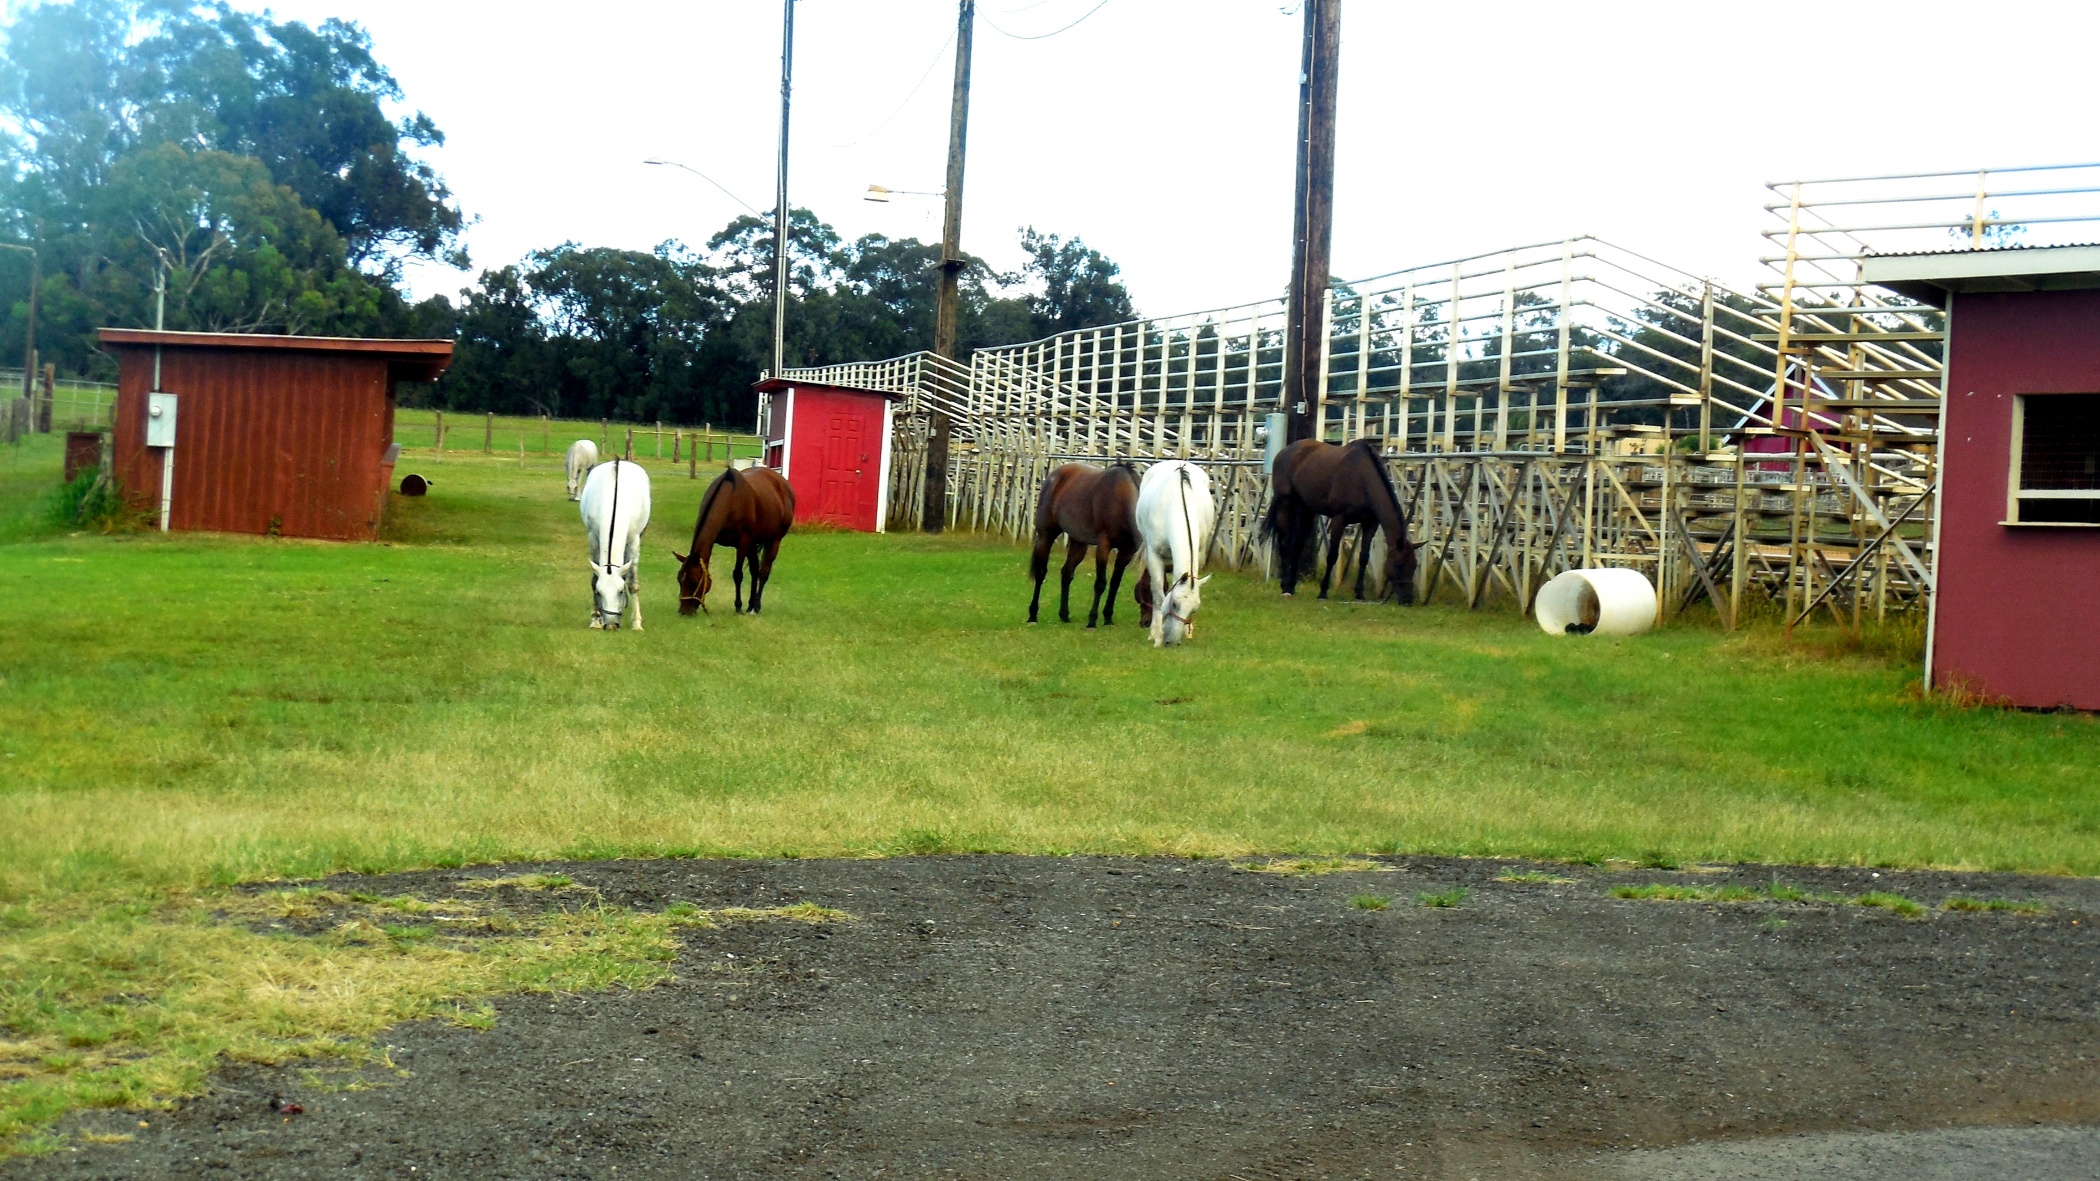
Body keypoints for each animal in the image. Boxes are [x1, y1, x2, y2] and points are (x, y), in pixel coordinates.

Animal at [579, 458, 652, 630]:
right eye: (599, 592)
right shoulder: (593, 538)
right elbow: (593, 580)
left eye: (620, 592)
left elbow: (633, 583)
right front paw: (595, 620)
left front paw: (637, 624)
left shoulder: (634, 541)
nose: (611, 625)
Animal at [673, 465, 794, 616]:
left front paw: (738, 606)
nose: (683, 611)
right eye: (679, 579)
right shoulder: (744, 543)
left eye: (694, 581)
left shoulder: (742, 543)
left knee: (763, 572)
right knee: (755, 570)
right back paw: (750, 605)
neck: (730, 499)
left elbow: (738, 574)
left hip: (774, 540)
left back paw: (756, 606)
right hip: (753, 544)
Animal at [1027, 462, 1141, 628]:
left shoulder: (1127, 551)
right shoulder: (1103, 545)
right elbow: (1100, 583)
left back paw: (1064, 615)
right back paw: (1032, 615)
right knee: (1041, 573)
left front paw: (1108, 618)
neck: (1121, 498)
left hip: (1078, 542)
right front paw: (1092, 620)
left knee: (1067, 573)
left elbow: (1115, 583)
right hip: (1045, 536)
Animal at [1131, 460, 1216, 647]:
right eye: (1175, 604)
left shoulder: (1199, 553)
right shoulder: (1154, 555)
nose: (1171, 642)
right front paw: (1156, 634)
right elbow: (1158, 594)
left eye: (1194, 609)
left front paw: (1186, 630)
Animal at [1261, 438, 1420, 603]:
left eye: (1414, 566)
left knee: (1297, 545)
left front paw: (1360, 593)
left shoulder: (1370, 523)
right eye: (1399, 565)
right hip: (1286, 503)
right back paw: (1285, 587)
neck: (1362, 478)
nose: (1408, 599)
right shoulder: (1339, 520)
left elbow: (1364, 557)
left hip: (1306, 509)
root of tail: (1284, 452)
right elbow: (1332, 556)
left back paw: (1291, 586)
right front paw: (1323, 591)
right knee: (1285, 543)